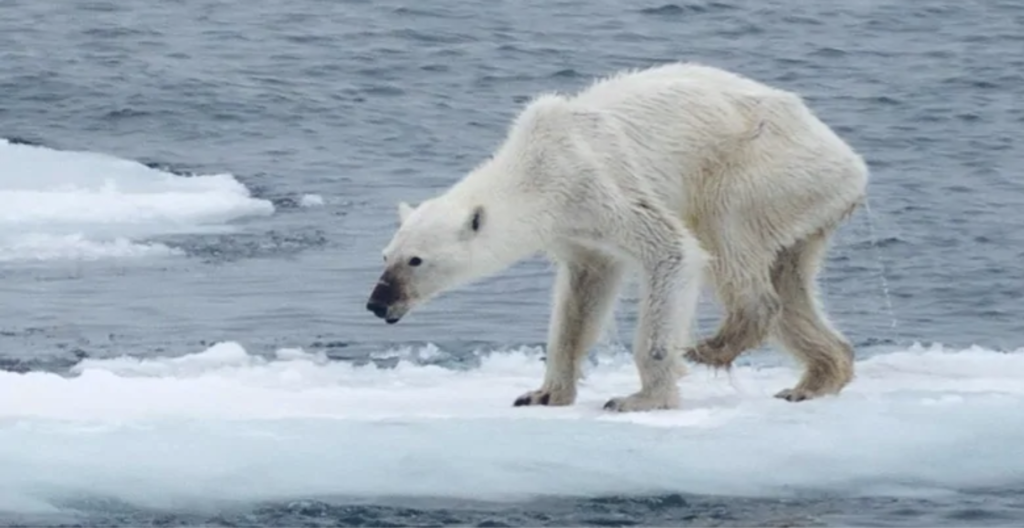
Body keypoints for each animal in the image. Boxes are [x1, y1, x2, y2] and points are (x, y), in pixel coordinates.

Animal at [366, 62, 868, 412]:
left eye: (415, 260)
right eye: (385, 255)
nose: (377, 303)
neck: (537, 166)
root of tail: (852, 163)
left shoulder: (598, 183)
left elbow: (672, 251)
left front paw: (640, 398)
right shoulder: (576, 231)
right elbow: (581, 298)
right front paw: (543, 393)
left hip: (764, 170)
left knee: (727, 234)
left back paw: (715, 345)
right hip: (804, 205)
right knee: (790, 281)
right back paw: (814, 380)